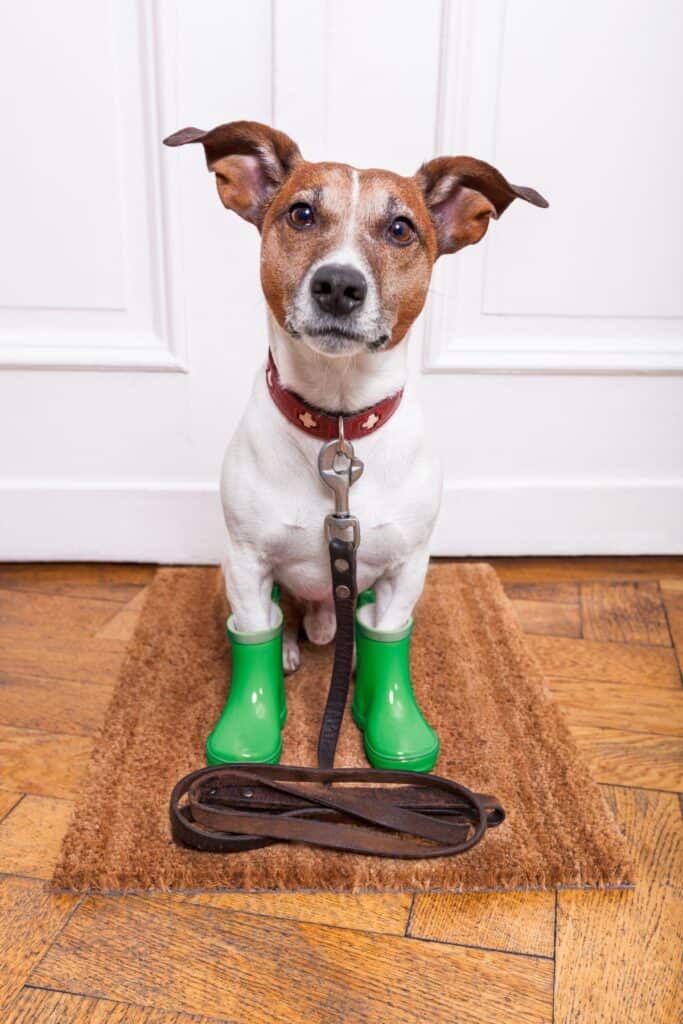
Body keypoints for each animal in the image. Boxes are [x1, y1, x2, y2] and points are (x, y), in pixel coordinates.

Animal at [162, 121, 548, 671]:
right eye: (301, 214)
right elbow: (257, 627)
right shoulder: (246, 564)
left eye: (401, 229)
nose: (339, 285)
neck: (339, 418)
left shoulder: (404, 574)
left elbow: (386, 633)